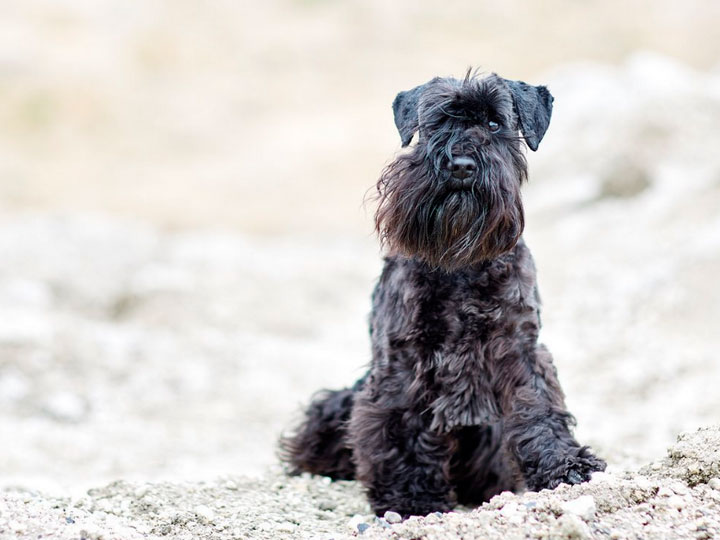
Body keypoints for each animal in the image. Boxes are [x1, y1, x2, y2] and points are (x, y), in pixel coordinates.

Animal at [280, 71, 606, 518]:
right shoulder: (403, 359)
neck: (460, 260)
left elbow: (538, 405)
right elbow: (400, 423)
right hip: (338, 403)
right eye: (436, 123)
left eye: (494, 124)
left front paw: (567, 466)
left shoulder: (519, 347)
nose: (461, 165)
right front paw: (410, 495)